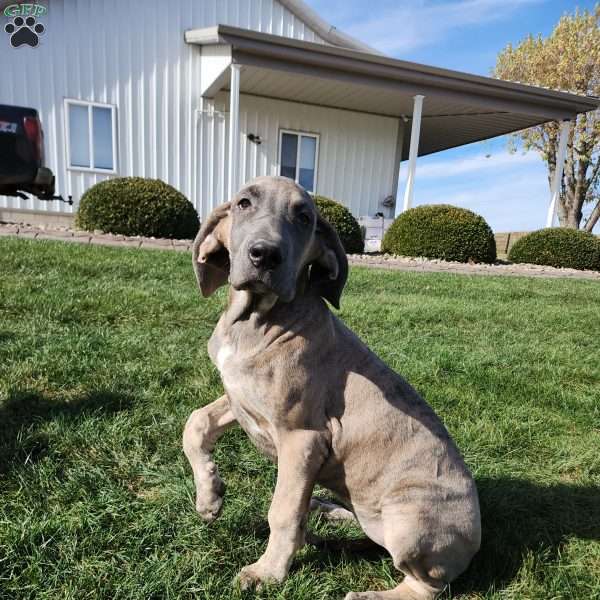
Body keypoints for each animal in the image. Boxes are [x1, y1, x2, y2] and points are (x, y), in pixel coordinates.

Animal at [183, 176, 482, 596]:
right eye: (243, 203)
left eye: (304, 217)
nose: (264, 255)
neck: (257, 318)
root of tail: (477, 539)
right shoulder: (239, 397)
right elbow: (195, 423)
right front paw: (209, 495)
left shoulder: (301, 438)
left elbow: (283, 512)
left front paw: (267, 572)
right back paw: (329, 511)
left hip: (411, 524)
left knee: (427, 585)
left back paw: (368, 595)